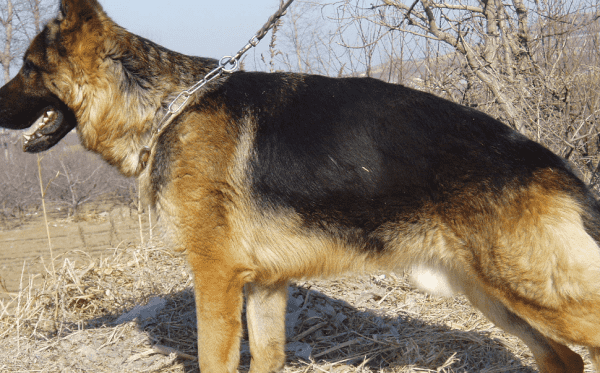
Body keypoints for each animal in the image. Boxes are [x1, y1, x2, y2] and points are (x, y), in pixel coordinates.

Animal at [1, 0, 600, 370]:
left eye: (28, 68)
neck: (168, 108)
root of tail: (554, 165)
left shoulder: (216, 277)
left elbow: (214, 357)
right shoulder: (266, 285)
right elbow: (267, 356)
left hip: (534, 293)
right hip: (491, 294)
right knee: (563, 358)